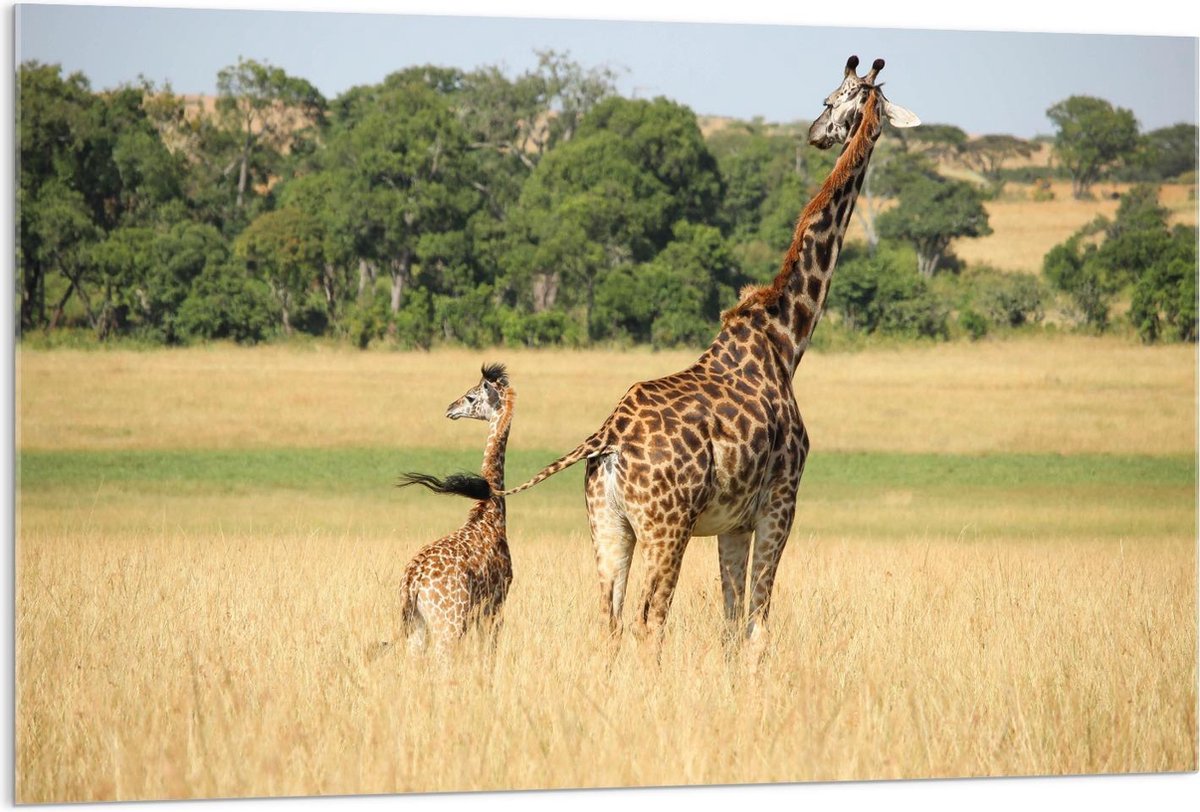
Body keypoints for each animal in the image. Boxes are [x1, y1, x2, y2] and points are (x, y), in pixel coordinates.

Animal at [391, 363, 515, 659]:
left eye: (471, 397)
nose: (450, 408)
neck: (490, 513)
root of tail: (412, 581)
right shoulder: (496, 602)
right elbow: (488, 653)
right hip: (449, 623)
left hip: (418, 626)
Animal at [493, 56, 918, 649]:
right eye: (833, 98)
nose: (816, 132)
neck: (787, 338)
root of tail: (606, 439)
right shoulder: (781, 501)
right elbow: (758, 624)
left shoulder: (732, 523)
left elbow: (731, 624)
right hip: (666, 527)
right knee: (650, 620)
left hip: (608, 526)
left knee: (611, 621)